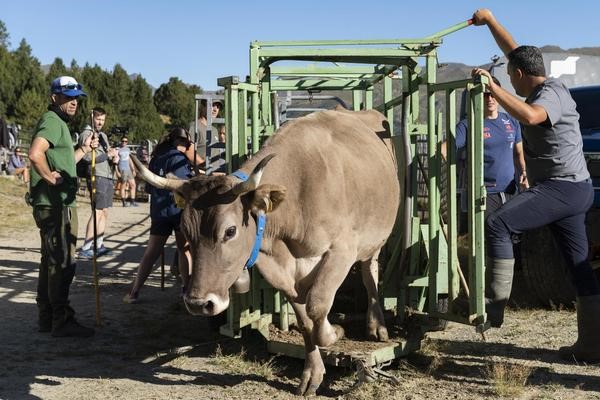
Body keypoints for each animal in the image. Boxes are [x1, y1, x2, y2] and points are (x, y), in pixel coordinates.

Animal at [134, 109, 400, 396]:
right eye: (184, 228)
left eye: (230, 231)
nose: (198, 303)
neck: (299, 193)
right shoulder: (281, 269)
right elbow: (306, 319)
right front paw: (313, 374)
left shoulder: (342, 250)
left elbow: (317, 306)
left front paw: (334, 332)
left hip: (375, 239)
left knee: (369, 272)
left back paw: (377, 325)